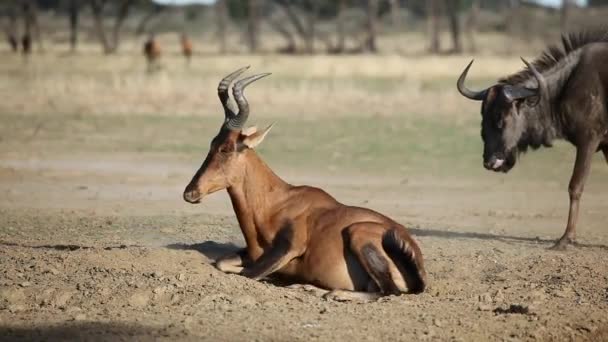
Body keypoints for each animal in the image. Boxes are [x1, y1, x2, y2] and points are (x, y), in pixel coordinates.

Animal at [183, 67, 426, 300]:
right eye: (212, 143)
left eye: (226, 148)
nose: (190, 193)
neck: (276, 202)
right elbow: (222, 263)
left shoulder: (290, 248)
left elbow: (249, 274)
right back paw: (308, 288)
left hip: (359, 232)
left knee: (389, 291)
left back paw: (335, 293)